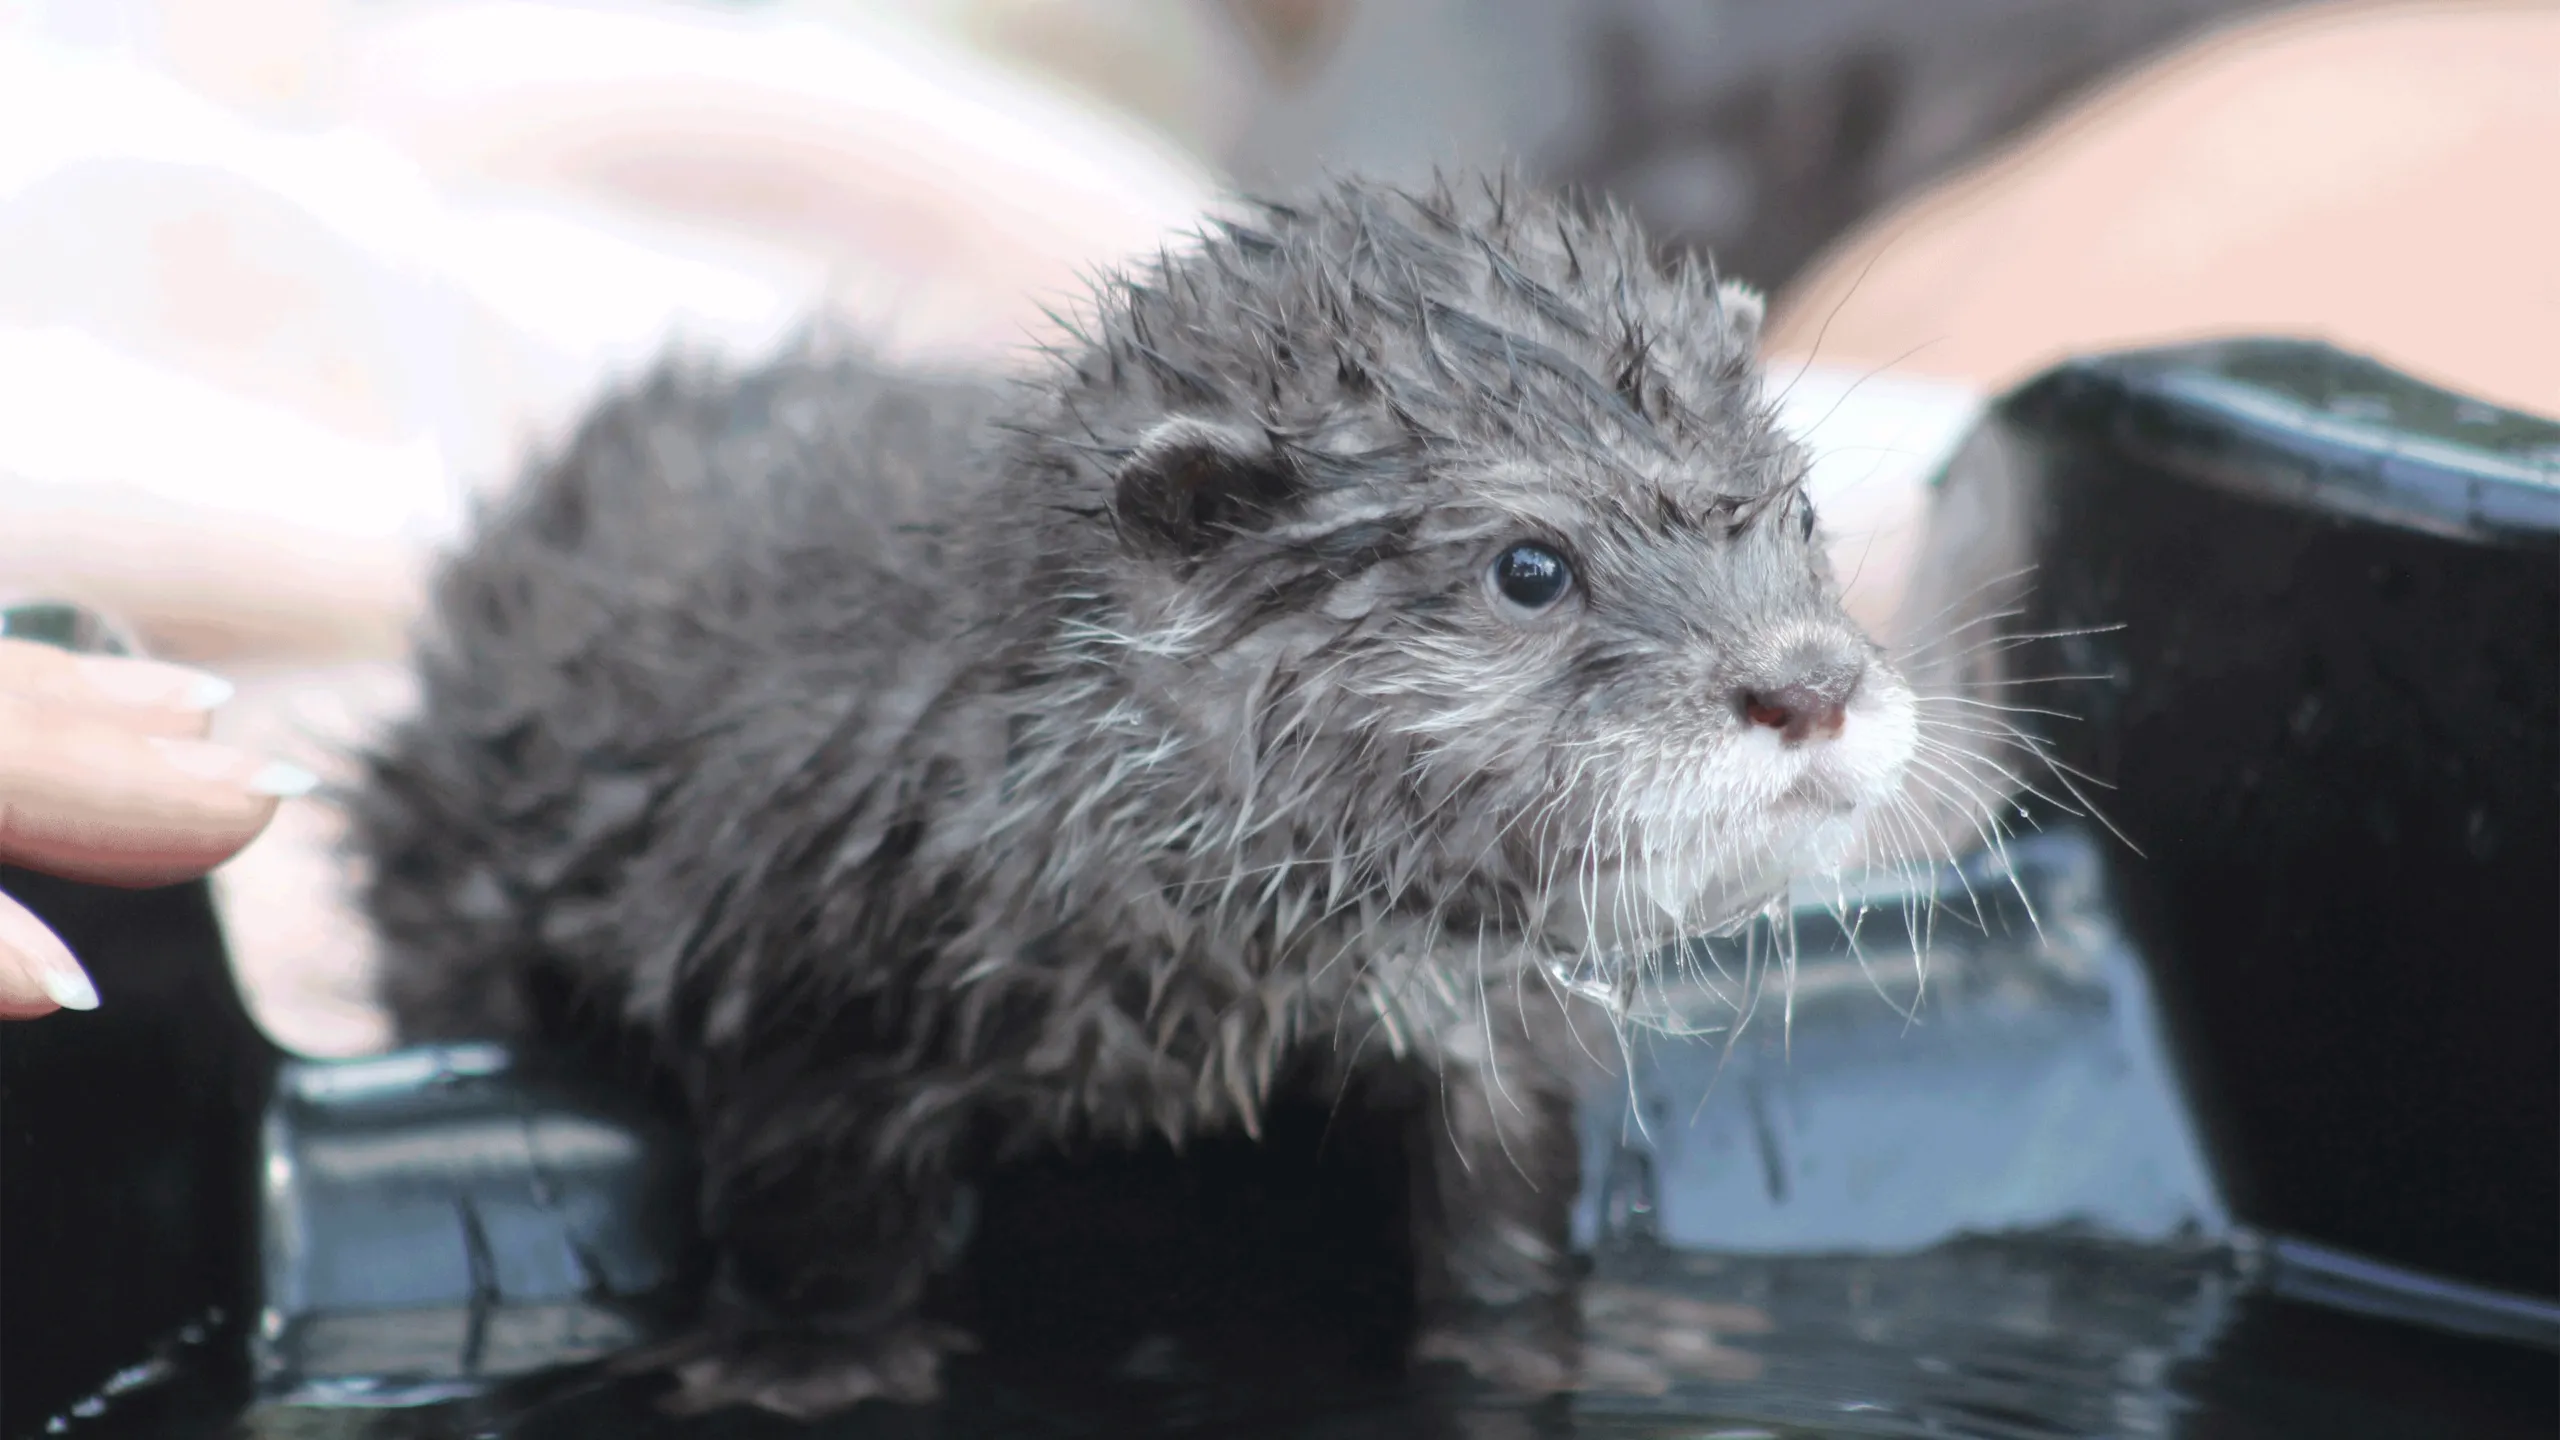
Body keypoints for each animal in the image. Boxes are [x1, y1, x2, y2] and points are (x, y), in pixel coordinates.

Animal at [350, 174, 1919, 1417]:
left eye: (1801, 509)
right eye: (1529, 566)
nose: (1805, 684)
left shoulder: (1484, 1021)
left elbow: (1505, 1205)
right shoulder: (806, 956)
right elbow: (816, 1211)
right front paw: (810, 1369)